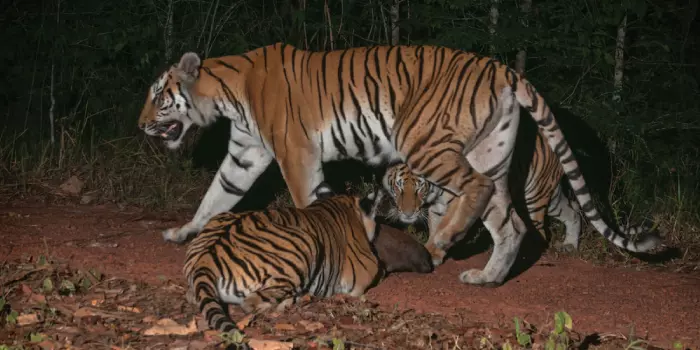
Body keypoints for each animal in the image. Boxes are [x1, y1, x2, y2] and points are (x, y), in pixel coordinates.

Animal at [138, 42, 660, 286]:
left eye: (159, 97)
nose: (141, 125)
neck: (226, 94)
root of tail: (503, 68)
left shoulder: (294, 153)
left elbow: (307, 201)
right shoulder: (246, 153)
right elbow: (215, 196)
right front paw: (183, 232)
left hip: (425, 140)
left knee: (476, 191)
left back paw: (442, 239)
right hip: (490, 152)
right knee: (509, 222)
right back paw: (485, 276)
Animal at [180, 183, 432, 334]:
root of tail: (207, 259)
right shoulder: (367, 271)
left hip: (221, 219)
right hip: (305, 243)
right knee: (251, 303)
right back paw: (294, 300)